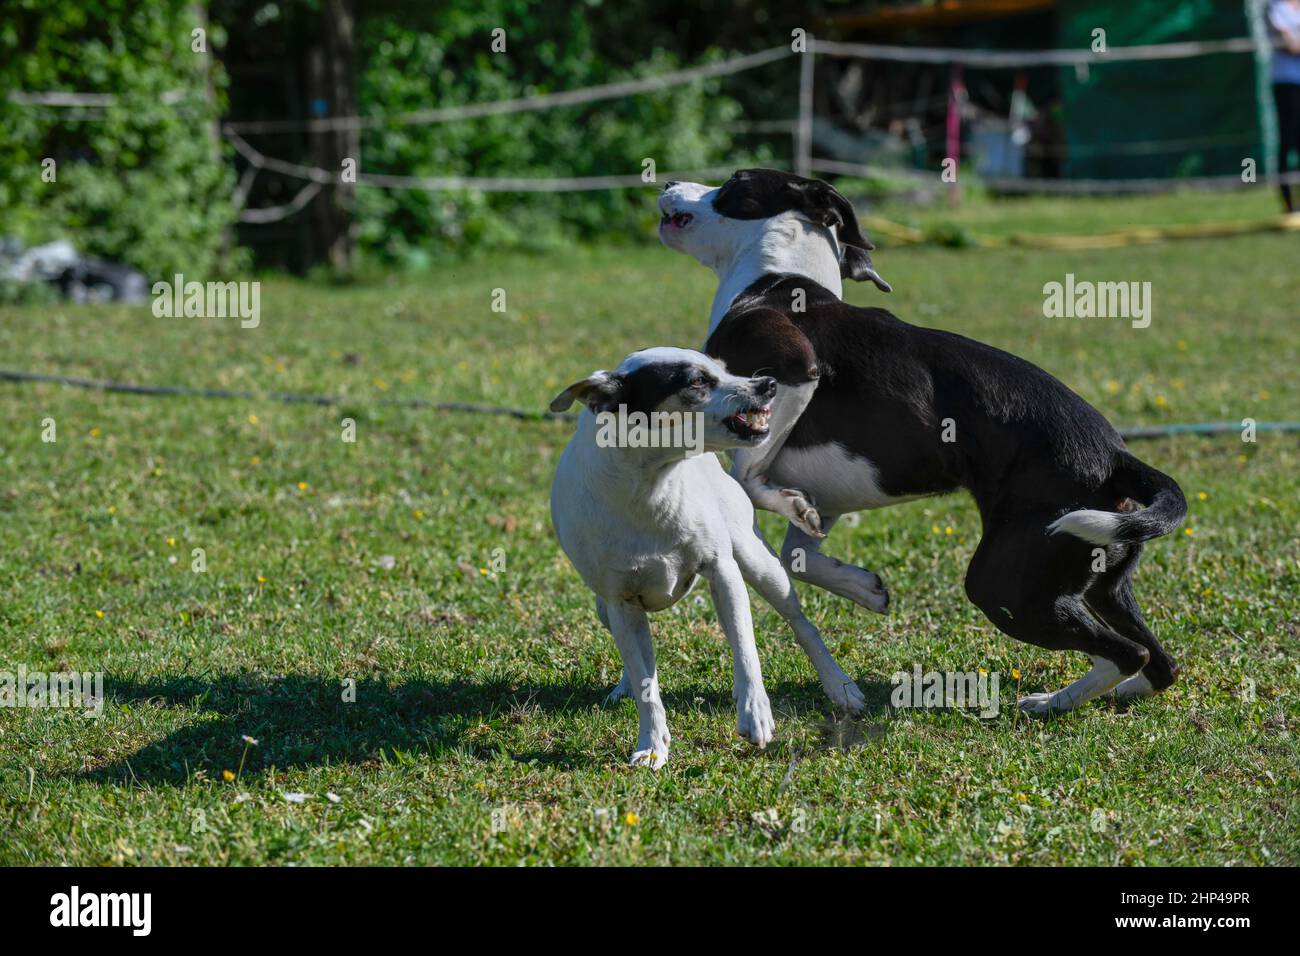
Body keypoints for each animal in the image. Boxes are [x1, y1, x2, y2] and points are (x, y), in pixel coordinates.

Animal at [548, 348, 863, 764]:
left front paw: (755, 713)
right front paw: (652, 745)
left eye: (724, 369)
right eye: (697, 381)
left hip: (758, 563)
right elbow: (646, 681)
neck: (650, 486)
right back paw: (626, 687)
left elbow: (746, 648)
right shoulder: (621, 601)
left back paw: (839, 686)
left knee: (799, 624)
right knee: (638, 657)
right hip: (604, 608)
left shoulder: (723, 571)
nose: (768, 383)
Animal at [660, 167, 1190, 712]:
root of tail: (1117, 455)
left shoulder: (794, 368)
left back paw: (1050, 703)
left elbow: (748, 476)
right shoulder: (832, 491)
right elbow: (796, 555)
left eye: (734, 183)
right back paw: (1097, 695)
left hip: (1003, 584)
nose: (668, 182)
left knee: (1128, 653)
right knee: (1158, 661)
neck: (775, 276)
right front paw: (863, 587)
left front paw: (789, 505)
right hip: (1100, 575)